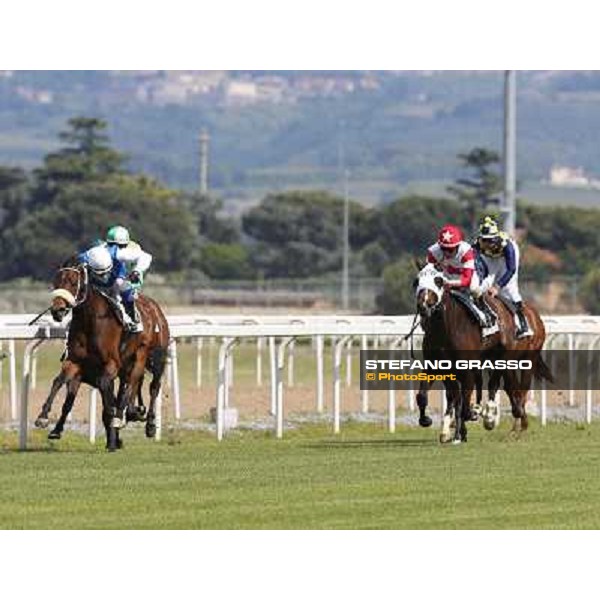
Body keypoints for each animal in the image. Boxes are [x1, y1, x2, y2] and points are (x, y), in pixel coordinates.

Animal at [46, 258, 169, 450]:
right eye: (56, 281)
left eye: (73, 282)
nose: (57, 310)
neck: (89, 322)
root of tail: (155, 308)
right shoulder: (75, 363)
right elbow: (60, 384)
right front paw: (47, 420)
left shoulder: (110, 366)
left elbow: (109, 401)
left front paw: (115, 435)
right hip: (129, 365)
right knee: (132, 386)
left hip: (152, 357)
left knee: (151, 386)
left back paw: (147, 423)